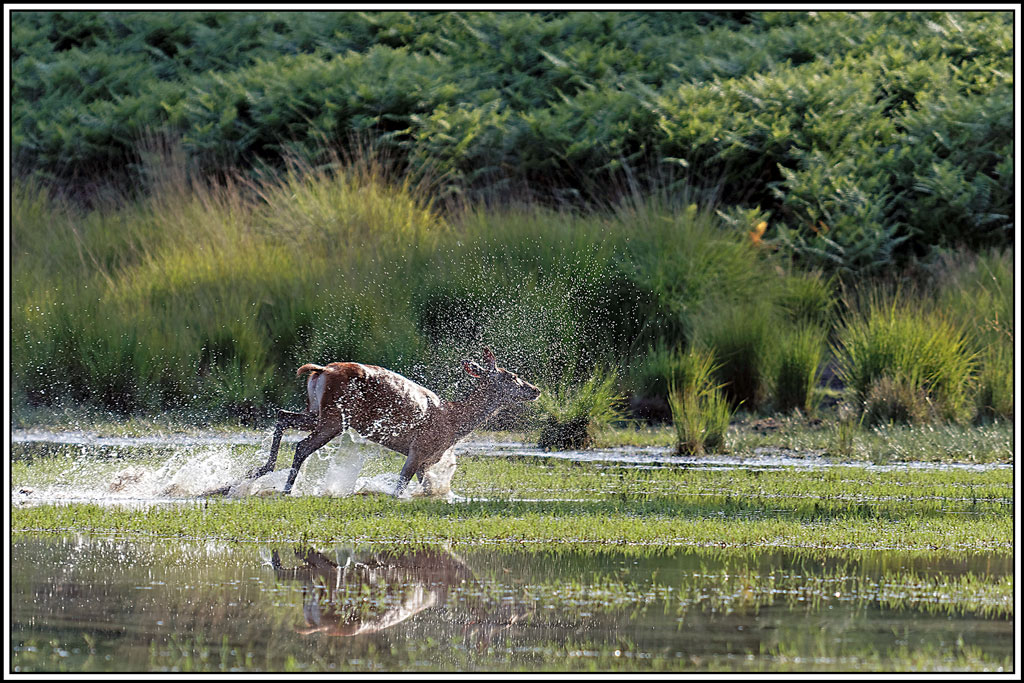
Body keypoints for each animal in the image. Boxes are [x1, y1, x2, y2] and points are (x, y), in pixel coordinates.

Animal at [246, 348, 541, 497]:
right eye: (513, 376)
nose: (536, 389)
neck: (453, 422)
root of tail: (321, 370)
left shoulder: (427, 460)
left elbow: (428, 488)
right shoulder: (419, 448)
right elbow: (400, 486)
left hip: (316, 411)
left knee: (282, 415)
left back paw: (256, 473)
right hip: (335, 417)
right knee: (302, 446)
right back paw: (286, 488)